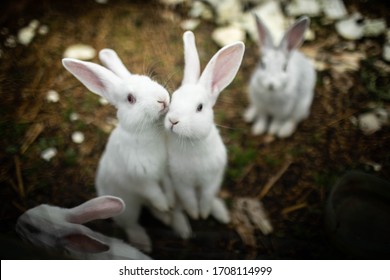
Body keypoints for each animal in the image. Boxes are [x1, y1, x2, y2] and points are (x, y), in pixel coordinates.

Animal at [62, 49, 172, 253]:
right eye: (130, 99)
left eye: (148, 79)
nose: (163, 100)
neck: (147, 133)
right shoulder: (139, 178)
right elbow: (153, 192)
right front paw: (164, 205)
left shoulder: (164, 171)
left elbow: (167, 186)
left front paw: (169, 204)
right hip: (126, 207)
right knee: (130, 223)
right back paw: (144, 242)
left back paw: (166, 218)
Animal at [164, 30, 244, 234]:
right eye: (173, 97)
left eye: (200, 107)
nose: (173, 120)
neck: (191, 143)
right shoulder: (181, 182)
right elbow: (189, 200)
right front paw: (195, 215)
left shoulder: (212, 179)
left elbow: (207, 197)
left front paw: (204, 213)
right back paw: (183, 229)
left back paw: (221, 214)